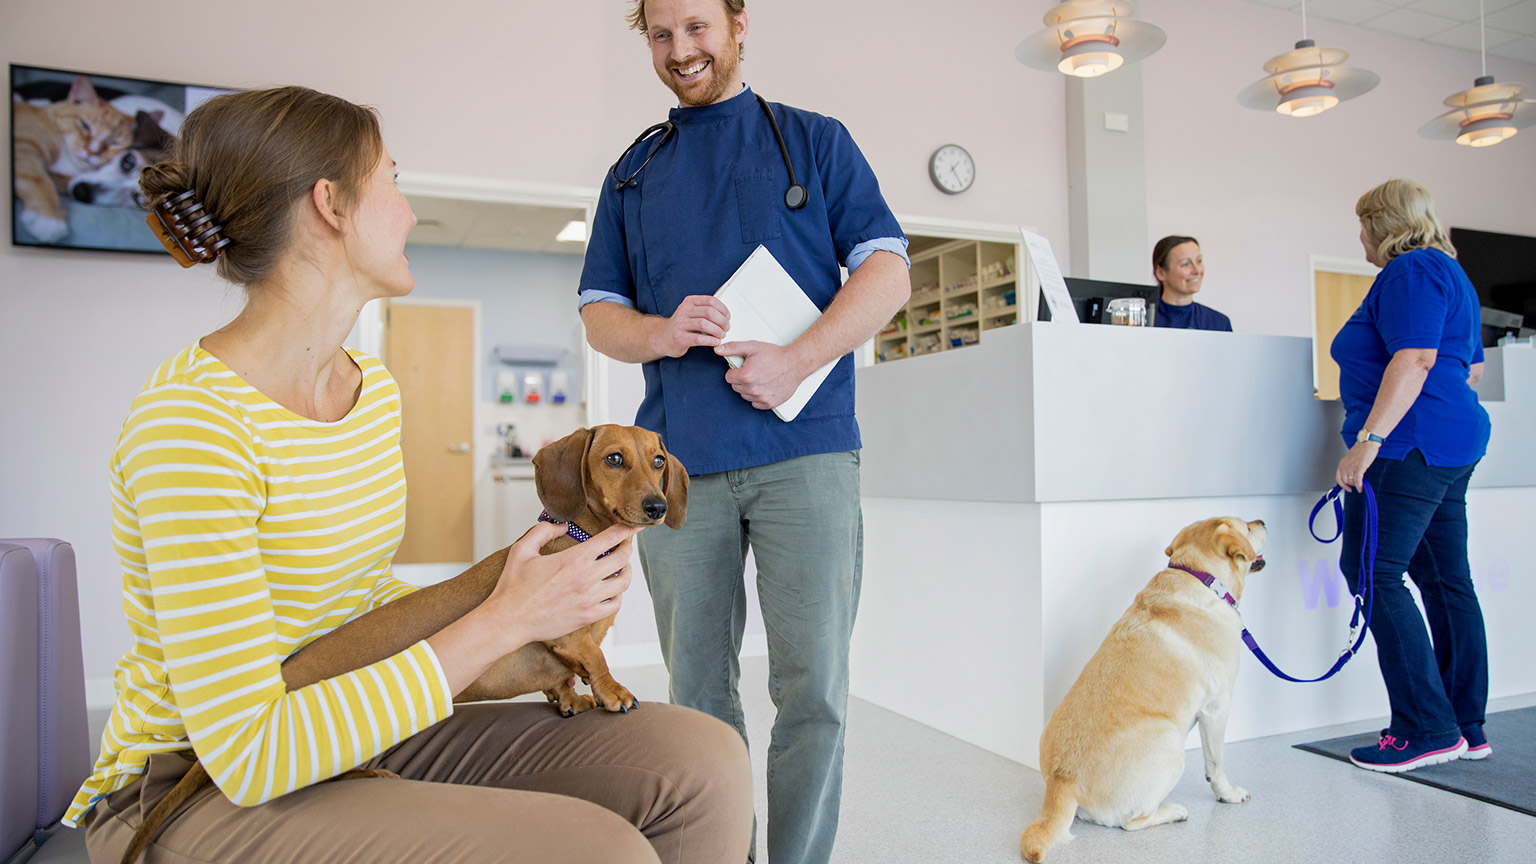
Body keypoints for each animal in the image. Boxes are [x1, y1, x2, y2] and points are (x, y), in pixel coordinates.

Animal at [13, 75, 135, 239]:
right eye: (85, 125)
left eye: (114, 142)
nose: (91, 151)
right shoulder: (23, 145)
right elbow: (38, 179)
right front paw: (49, 220)